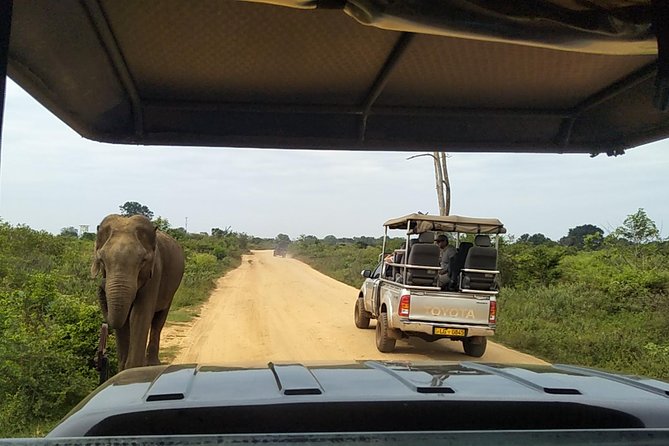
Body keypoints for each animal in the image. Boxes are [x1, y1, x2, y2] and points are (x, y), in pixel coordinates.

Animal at [90, 214, 185, 372]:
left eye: (143, 261)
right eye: (101, 260)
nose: (102, 284)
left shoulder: (154, 273)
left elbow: (139, 315)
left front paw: (133, 368)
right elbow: (123, 321)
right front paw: (122, 371)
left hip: (171, 290)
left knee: (159, 319)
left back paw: (152, 364)